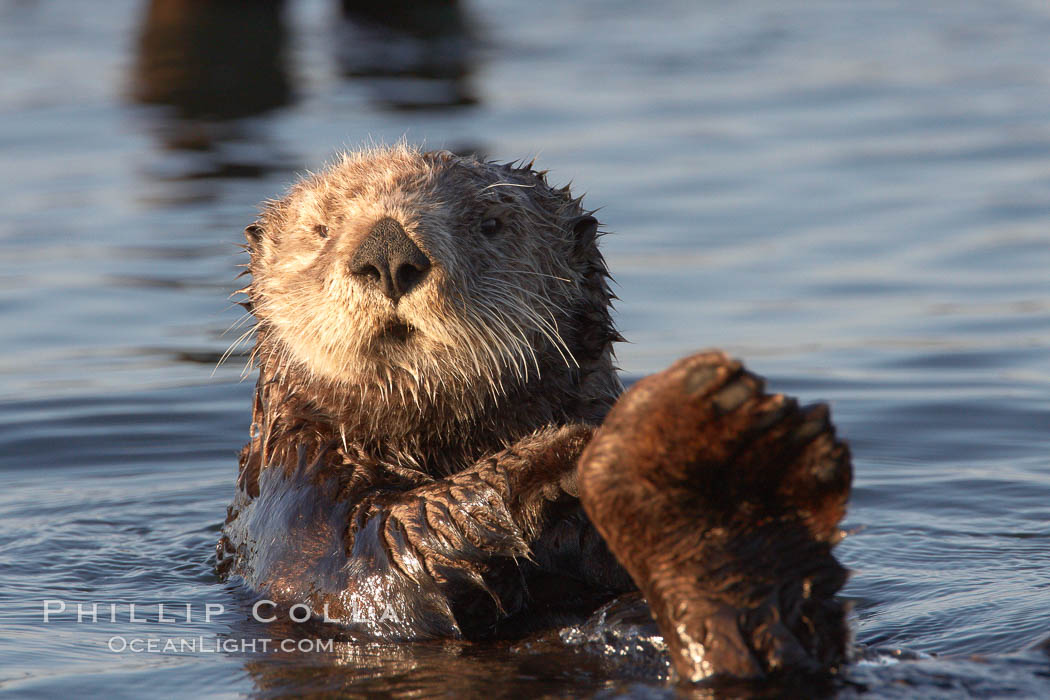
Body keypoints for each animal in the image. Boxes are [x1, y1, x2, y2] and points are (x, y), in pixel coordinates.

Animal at [215, 143, 852, 684]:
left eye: (490, 225)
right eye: (320, 230)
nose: (388, 253)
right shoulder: (295, 494)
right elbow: (366, 561)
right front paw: (557, 450)